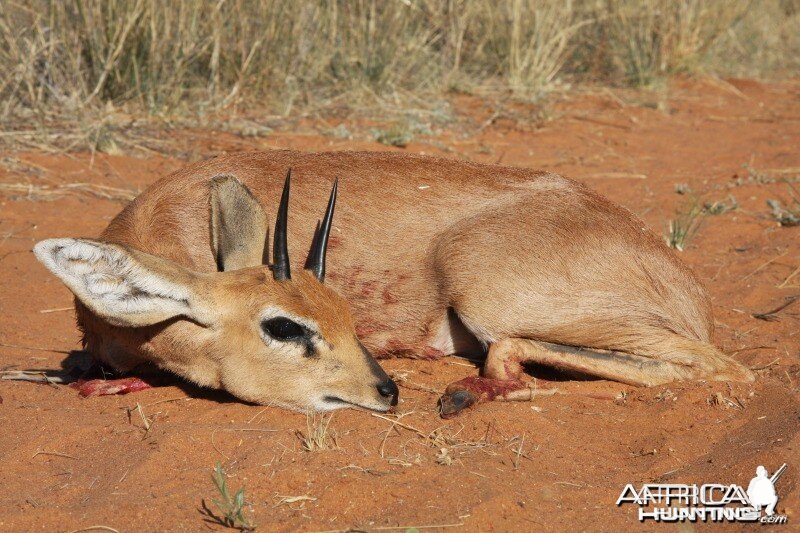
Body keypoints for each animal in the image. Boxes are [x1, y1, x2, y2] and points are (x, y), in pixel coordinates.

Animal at [32, 150, 752, 416]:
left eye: (346, 319)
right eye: (283, 325)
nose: (386, 391)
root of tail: (687, 286)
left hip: (489, 295)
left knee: (723, 370)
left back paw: (469, 390)